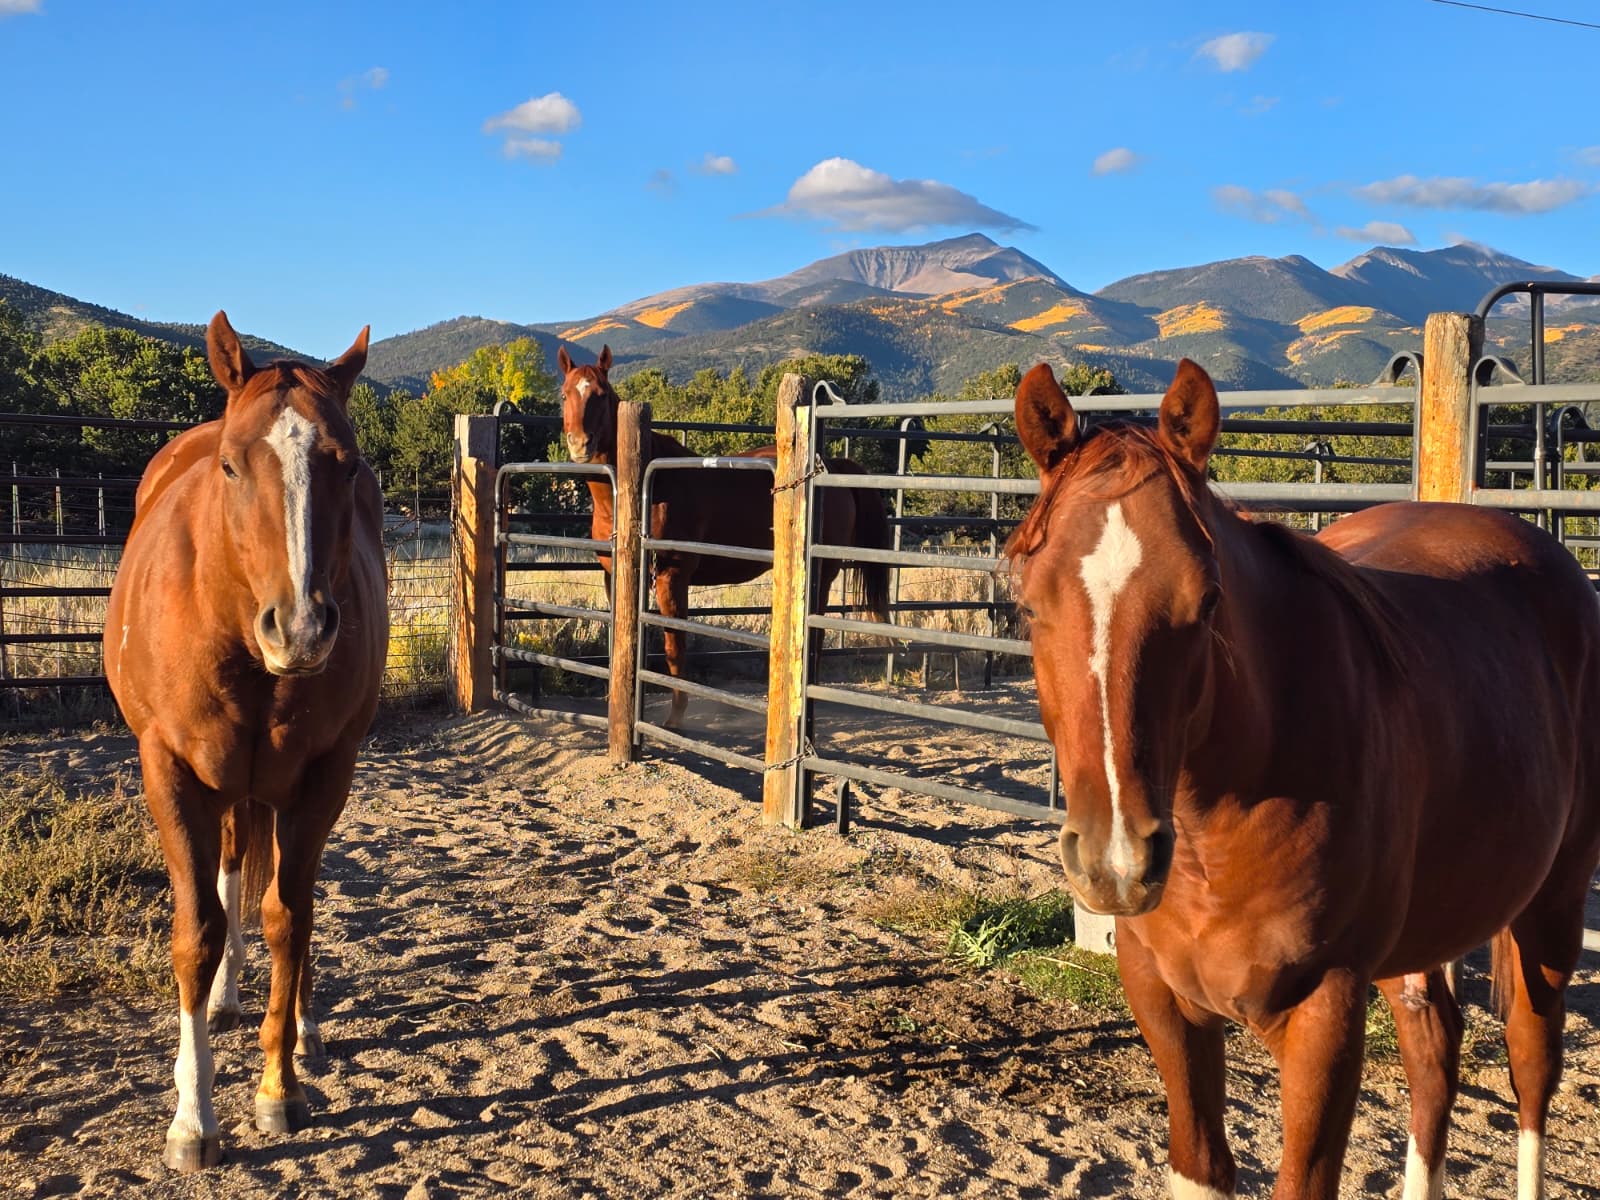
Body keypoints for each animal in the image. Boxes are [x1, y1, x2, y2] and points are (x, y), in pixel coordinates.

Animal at [104, 312, 388, 1172]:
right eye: (232, 466)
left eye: (348, 466)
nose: (300, 628)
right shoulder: (171, 770)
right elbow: (197, 935)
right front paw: (193, 1119)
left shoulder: (326, 773)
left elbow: (289, 917)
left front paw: (277, 1086)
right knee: (231, 871)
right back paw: (227, 1002)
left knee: (287, 898)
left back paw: (304, 1029)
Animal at [558, 345, 892, 727]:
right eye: (564, 394)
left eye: (600, 395)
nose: (579, 445)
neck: (644, 487)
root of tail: (831, 466)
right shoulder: (615, 575)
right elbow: (624, 641)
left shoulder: (672, 576)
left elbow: (674, 646)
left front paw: (675, 718)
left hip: (821, 574)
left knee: (815, 635)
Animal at [1005, 358, 1600, 1200]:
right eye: (1028, 606)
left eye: (1207, 602)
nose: (1116, 861)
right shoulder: (1165, 1003)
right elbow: (1200, 1165)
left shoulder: (1327, 1013)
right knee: (1434, 1053)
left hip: (1553, 902)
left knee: (1531, 1067)